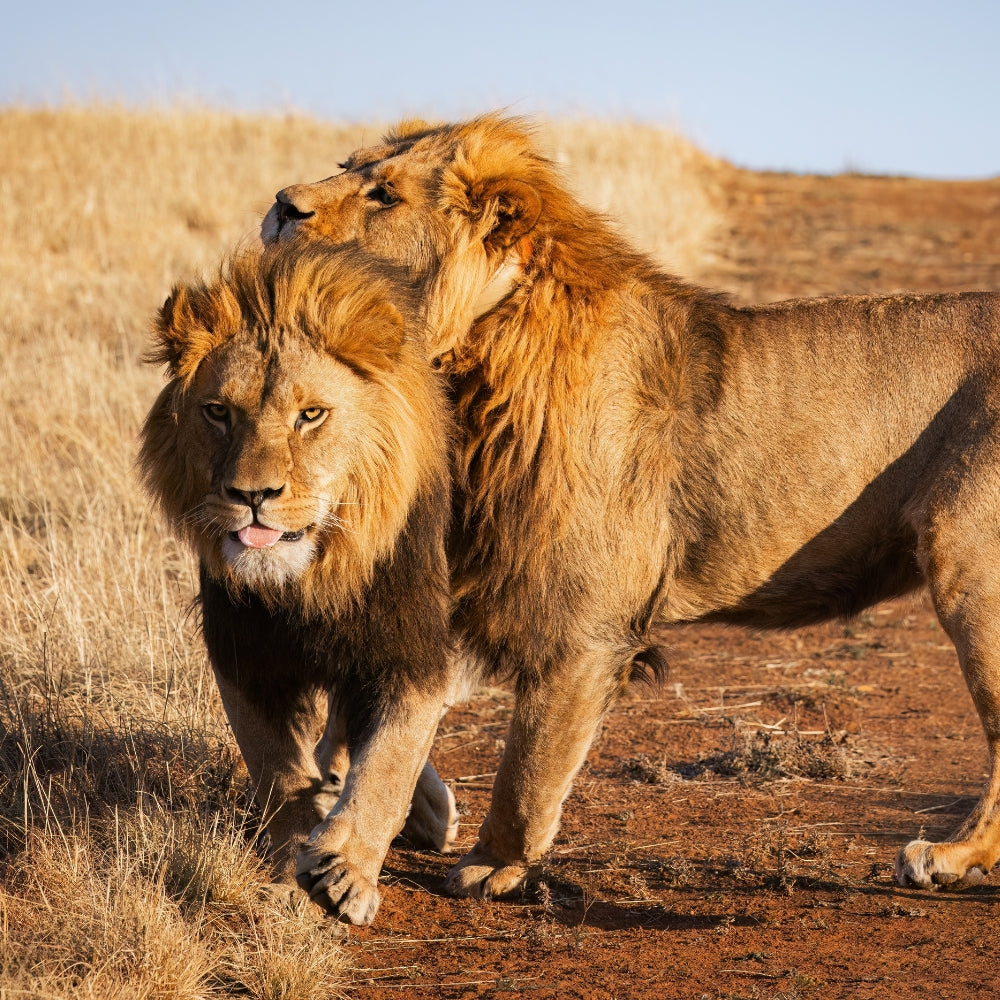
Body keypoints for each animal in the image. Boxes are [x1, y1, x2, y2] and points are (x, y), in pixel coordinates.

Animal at [138, 243, 461, 925]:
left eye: (310, 415)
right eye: (218, 412)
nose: (252, 495)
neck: (308, 582)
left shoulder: (410, 653)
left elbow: (389, 762)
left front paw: (344, 872)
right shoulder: (243, 652)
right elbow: (275, 766)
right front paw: (291, 859)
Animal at [262, 114, 1000, 899]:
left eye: (384, 195)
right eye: (346, 165)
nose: (280, 205)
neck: (470, 358)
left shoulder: (583, 622)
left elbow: (528, 761)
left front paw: (492, 860)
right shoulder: (472, 571)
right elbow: (376, 716)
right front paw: (384, 819)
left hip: (968, 564)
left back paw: (949, 856)